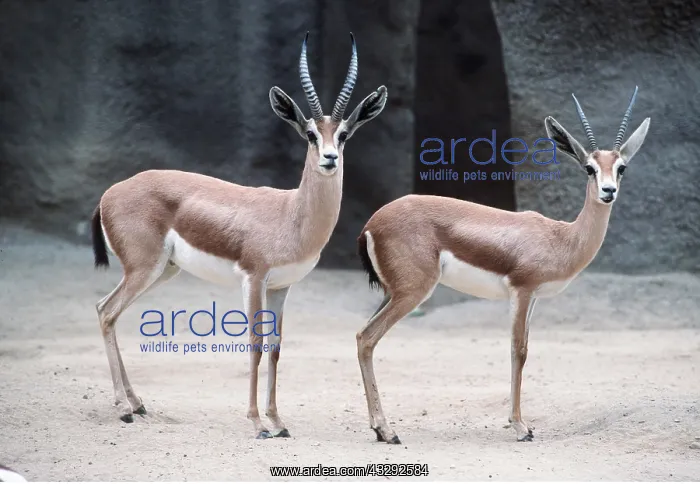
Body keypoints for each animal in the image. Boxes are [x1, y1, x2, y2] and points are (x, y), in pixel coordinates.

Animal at [90, 32, 388, 439]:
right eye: (311, 134)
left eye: (343, 135)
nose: (330, 158)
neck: (291, 214)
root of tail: (110, 193)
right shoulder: (253, 278)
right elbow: (255, 342)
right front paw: (258, 423)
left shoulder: (281, 286)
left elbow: (276, 347)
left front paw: (279, 422)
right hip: (143, 269)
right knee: (107, 312)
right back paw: (123, 408)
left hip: (162, 271)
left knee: (108, 310)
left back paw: (137, 404)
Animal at [356, 87, 650, 443]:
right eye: (589, 168)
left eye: (621, 168)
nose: (609, 191)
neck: (560, 237)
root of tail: (371, 223)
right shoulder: (521, 291)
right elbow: (517, 350)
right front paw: (521, 427)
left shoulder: (533, 297)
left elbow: (525, 349)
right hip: (412, 292)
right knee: (367, 337)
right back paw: (387, 431)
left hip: (392, 292)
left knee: (362, 336)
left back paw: (378, 428)